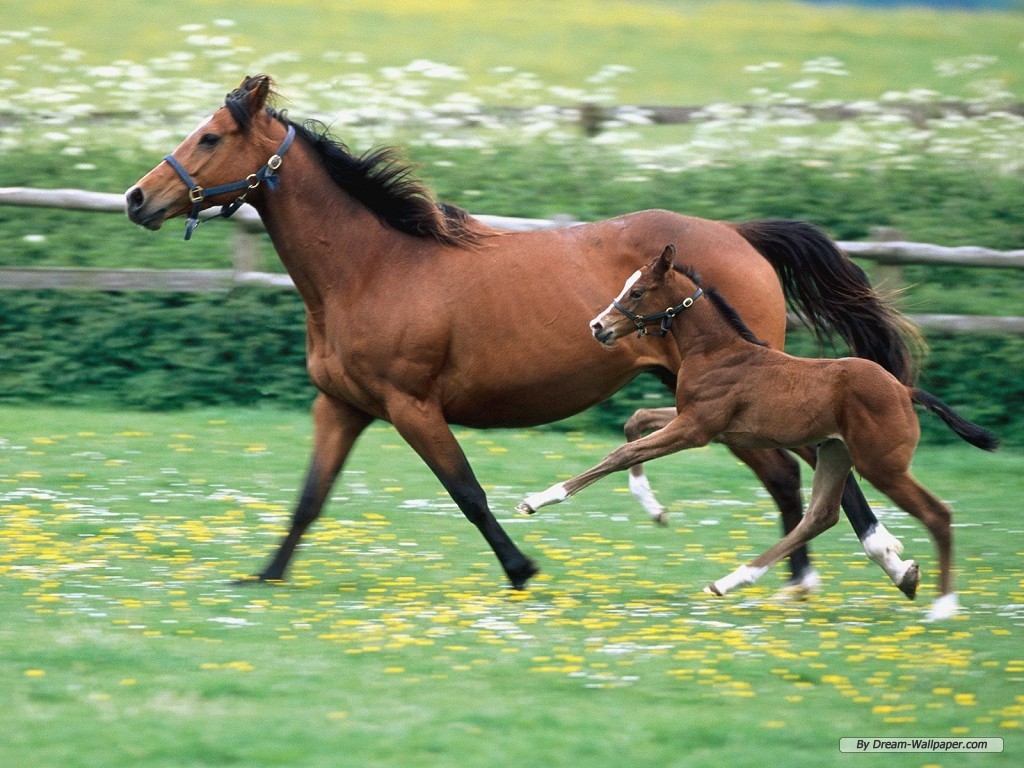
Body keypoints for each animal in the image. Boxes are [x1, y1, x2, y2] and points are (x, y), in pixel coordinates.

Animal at [125, 74, 922, 593]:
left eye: (210, 137)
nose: (137, 199)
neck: (373, 267)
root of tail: (739, 234)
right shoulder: (342, 406)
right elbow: (310, 498)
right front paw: (263, 576)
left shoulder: (412, 405)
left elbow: (468, 492)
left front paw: (522, 568)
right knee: (792, 474)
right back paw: (808, 578)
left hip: (738, 390)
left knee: (808, 470)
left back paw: (873, 564)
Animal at [518, 244, 998, 620]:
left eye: (636, 291)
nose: (598, 327)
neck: (717, 350)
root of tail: (903, 389)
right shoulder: (698, 421)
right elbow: (635, 423)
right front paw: (652, 506)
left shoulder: (695, 428)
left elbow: (620, 454)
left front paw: (537, 500)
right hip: (835, 452)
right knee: (820, 516)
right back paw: (732, 581)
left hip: (881, 465)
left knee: (937, 513)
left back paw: (943, 606)